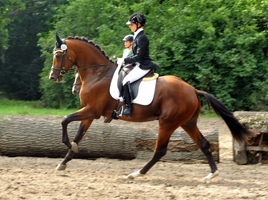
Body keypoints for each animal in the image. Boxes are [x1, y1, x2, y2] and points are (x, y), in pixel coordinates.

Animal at [48, 34, 253, 180]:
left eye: (58, 55)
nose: (53, 77)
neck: (98, 73)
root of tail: (192, 90)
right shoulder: (90, 114)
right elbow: (78, 135)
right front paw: (65, 160)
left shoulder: (92, 111)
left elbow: (64, 121)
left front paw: (71, 147)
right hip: (187, 122)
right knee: (203, 144)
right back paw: (212, 174)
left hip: (168, 123)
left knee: (160, 150)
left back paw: (136, 173)